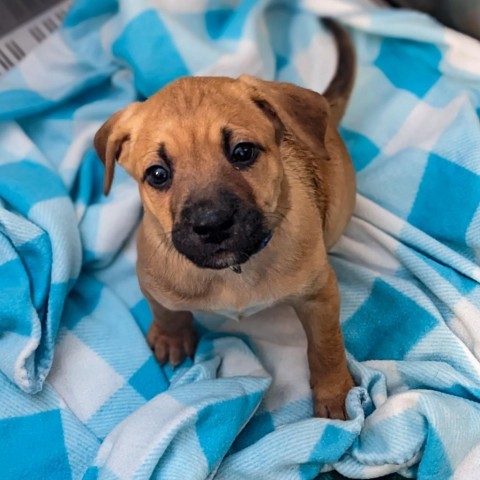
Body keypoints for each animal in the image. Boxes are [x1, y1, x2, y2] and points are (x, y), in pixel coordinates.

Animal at [94, 20, 356, 418]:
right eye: (157, 175)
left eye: (243, 152)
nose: (212, 224)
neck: (233, 273)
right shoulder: (151, 282)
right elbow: (166, 312)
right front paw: (172, 337)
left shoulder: (319, 295)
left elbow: (326, 348)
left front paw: (334, 393)